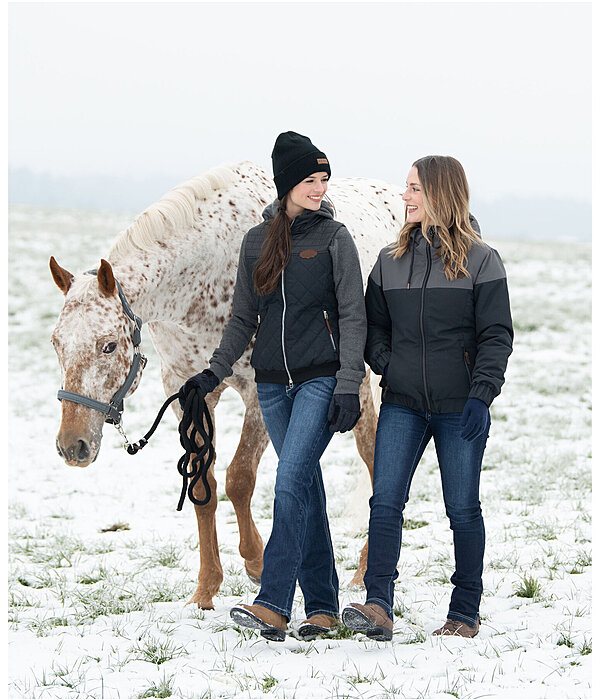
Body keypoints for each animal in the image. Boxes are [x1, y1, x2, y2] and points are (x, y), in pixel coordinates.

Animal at [50, 161, 404, 608]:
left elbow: (239, 479)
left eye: (108, 345)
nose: (72, 447)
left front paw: (257, 562)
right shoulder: (189, 392)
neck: (207, 270)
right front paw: (205, 590)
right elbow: (204, 484)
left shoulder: (261, 391)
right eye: (56, 342)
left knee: (376, 459)